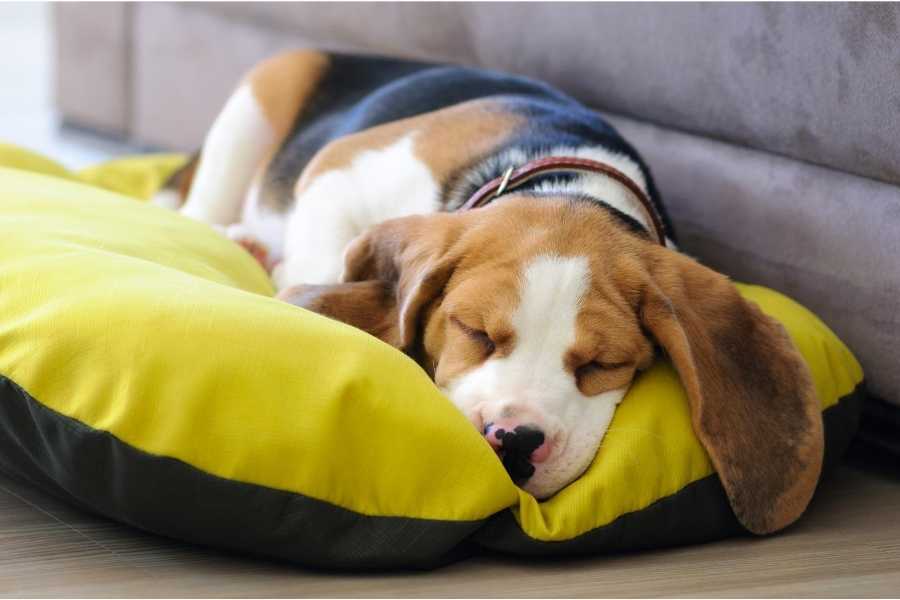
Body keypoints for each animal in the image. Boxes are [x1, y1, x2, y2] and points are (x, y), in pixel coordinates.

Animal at [160, 50, 824, 536]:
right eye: (474, 332)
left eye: (603, 364)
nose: (513, 441)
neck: (563, 180)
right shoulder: (340, 169)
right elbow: (323, 257)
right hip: (262, 94)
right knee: (197, 213)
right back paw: (244, 243)